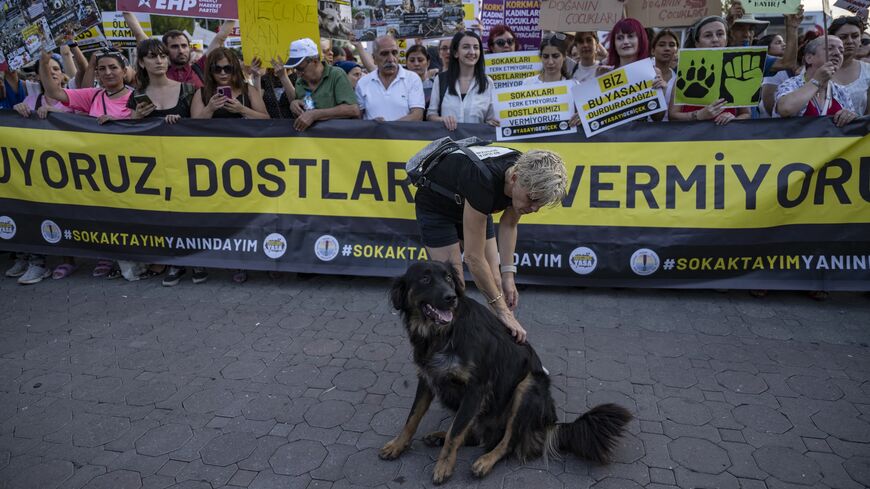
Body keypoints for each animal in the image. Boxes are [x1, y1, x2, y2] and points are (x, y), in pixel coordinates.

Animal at [382, 262, 632, 482]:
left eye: (449, 278)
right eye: (425, 279)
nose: (451, 297)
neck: (442, 334)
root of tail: (549, 424)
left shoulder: (476, 388)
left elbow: (456, 432)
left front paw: (443, 467)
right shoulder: (427, 378)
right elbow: (414, 417)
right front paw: (397, 445)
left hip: (527, 388)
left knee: (506, 441)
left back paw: (485, 461)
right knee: (474, 433)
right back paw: (438, 437)